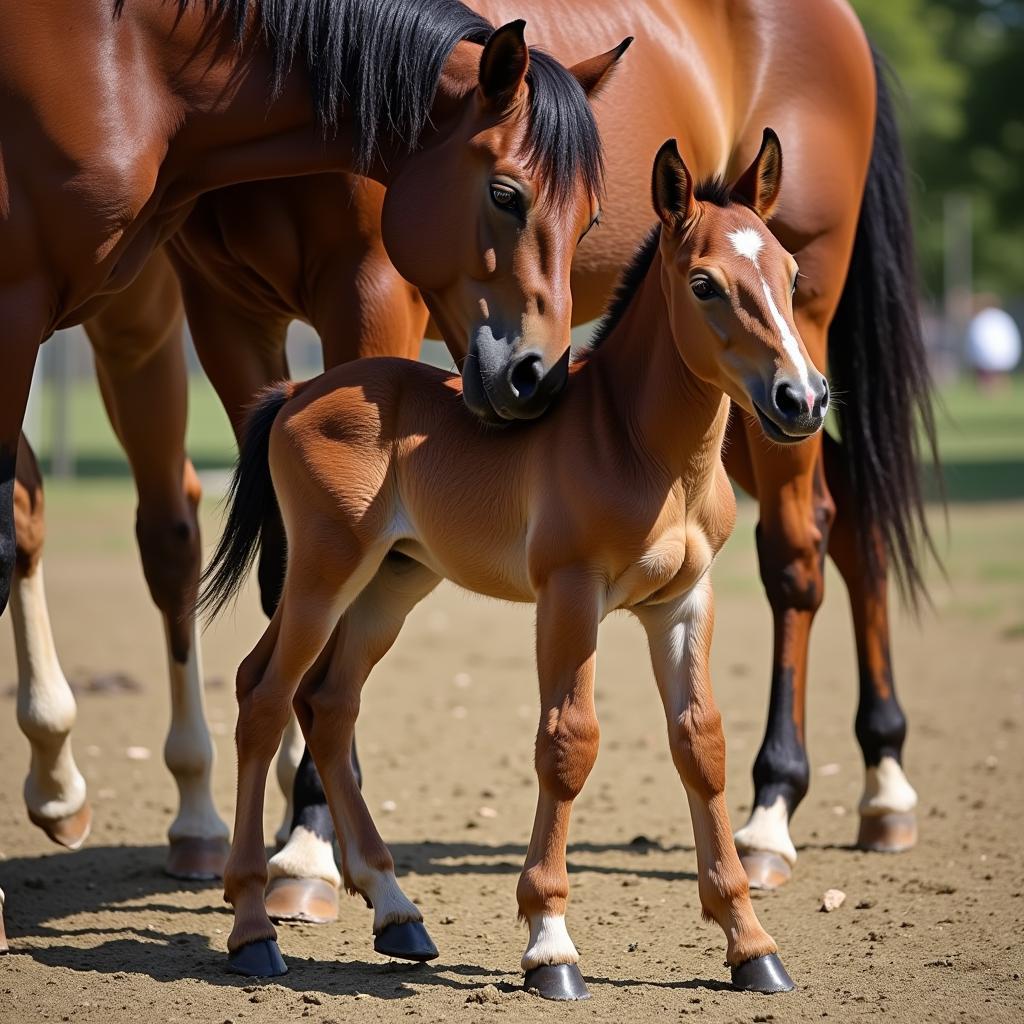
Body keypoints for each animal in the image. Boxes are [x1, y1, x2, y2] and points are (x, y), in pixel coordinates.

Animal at [201, 130, 823, 999]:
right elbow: (568, 743)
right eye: (704, 284)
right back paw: (254, 927)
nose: (803, 399)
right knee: (263, 693)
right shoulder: (569, 593)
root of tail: (295, 392)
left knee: (329, 703)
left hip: (393, 583)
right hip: (324, 574)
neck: (640, 446)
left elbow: (701, 745)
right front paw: (550, 944)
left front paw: (751, 944)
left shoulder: (683, 603)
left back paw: (397, 912)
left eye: (792, 277)